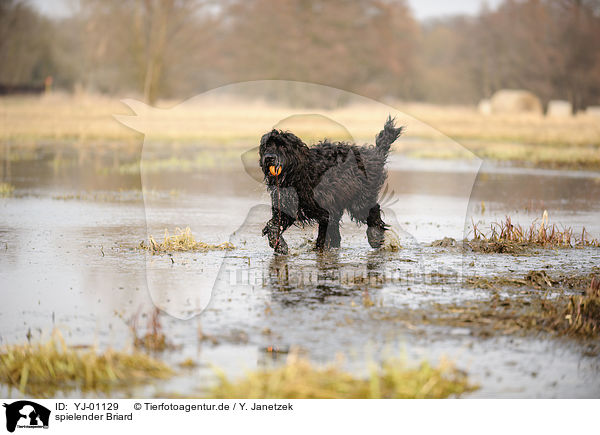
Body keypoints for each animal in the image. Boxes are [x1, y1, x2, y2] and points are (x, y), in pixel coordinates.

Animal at [258, 116, 404, 255]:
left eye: (283, 146)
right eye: (267, 146)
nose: (269, 158)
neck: (299, 174)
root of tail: (373, 156)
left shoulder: (325, 210)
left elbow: (324, 233)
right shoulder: (286, 205)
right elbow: (273, 224)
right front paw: (279, 245)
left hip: (359, 200)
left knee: (372, 211)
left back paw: (375, 236)